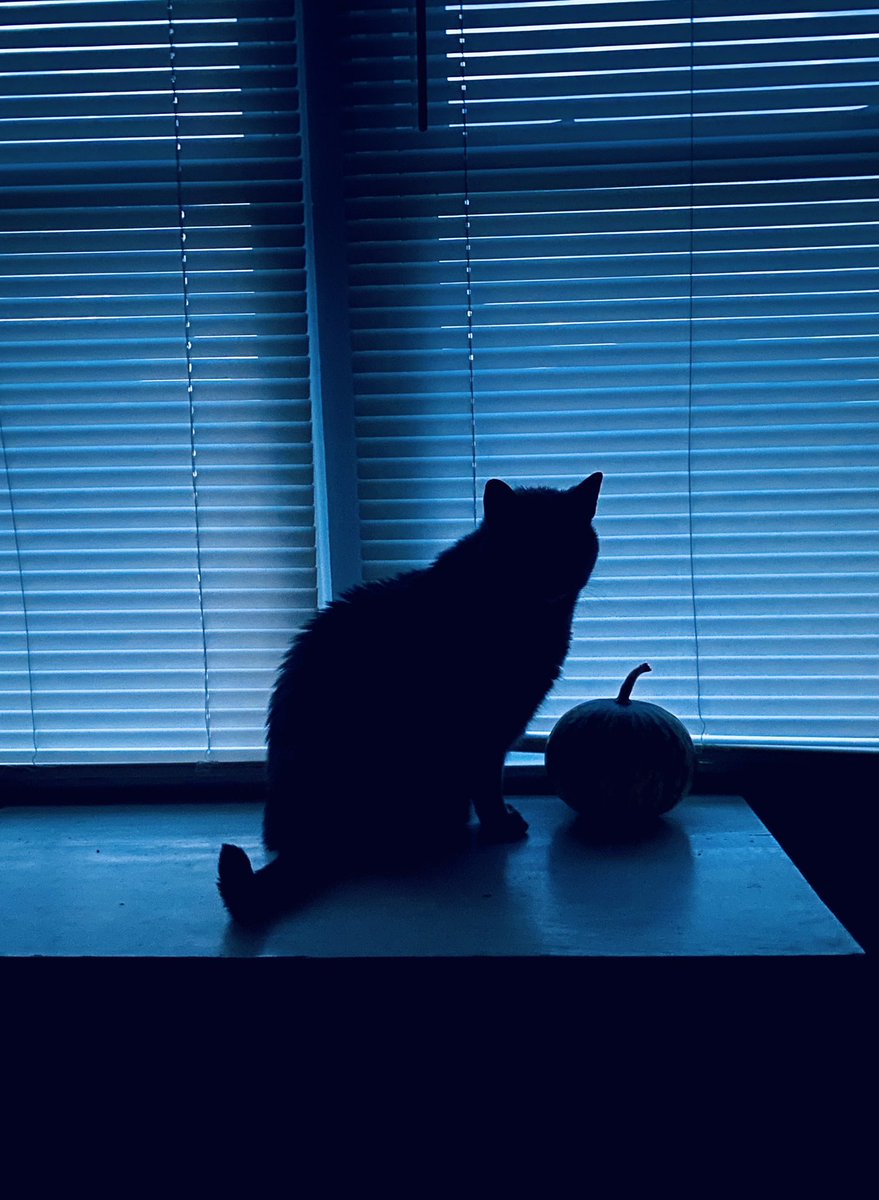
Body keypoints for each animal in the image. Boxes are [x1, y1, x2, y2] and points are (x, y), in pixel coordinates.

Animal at [219, 472, 605, 921]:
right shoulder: (486, 730)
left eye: (567, 543)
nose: (553, 574)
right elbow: (489, 783)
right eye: (527, 545)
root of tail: (313, 839)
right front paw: (500, 825)